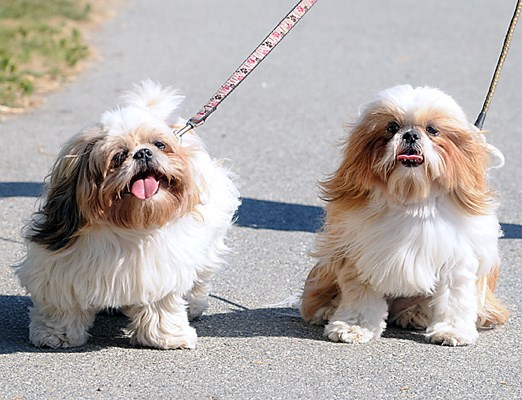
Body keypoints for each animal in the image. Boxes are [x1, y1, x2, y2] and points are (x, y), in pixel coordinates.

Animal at [16, 79, 240, 348]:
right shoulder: (61, 270)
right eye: (119, 156)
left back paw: (193, 305)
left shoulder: (158, 273)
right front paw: (55, 335)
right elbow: (62, 306)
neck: (129, 227)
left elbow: (161, 307)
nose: (143, 152)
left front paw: (166, 336)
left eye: (160, 145)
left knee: (200, 275)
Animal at [298, 85, 506, 346]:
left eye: (432, 130)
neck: (412, 200)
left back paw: (415, 315)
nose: (410, 135)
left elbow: (453, 299)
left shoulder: (457, 261)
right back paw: (326, 310)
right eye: (392, 127)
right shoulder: (361, 257)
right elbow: (360, 298)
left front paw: (451, 331)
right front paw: (353, 327)